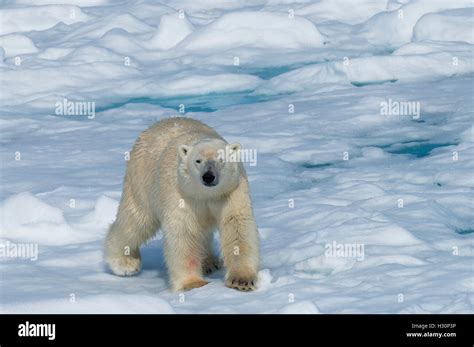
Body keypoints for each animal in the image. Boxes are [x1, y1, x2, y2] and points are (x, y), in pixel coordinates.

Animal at [104, 118, 260, 292]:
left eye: (221, 160)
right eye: (198, 161)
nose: (208, 176)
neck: (205, 194)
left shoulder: (230, 192)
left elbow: (237, 227)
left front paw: (242, 281)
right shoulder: (181, 193)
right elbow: (184, 232)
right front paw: (193, 283)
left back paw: (209, 262)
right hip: (141, 181)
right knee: (136, 222)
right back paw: (125, 263)